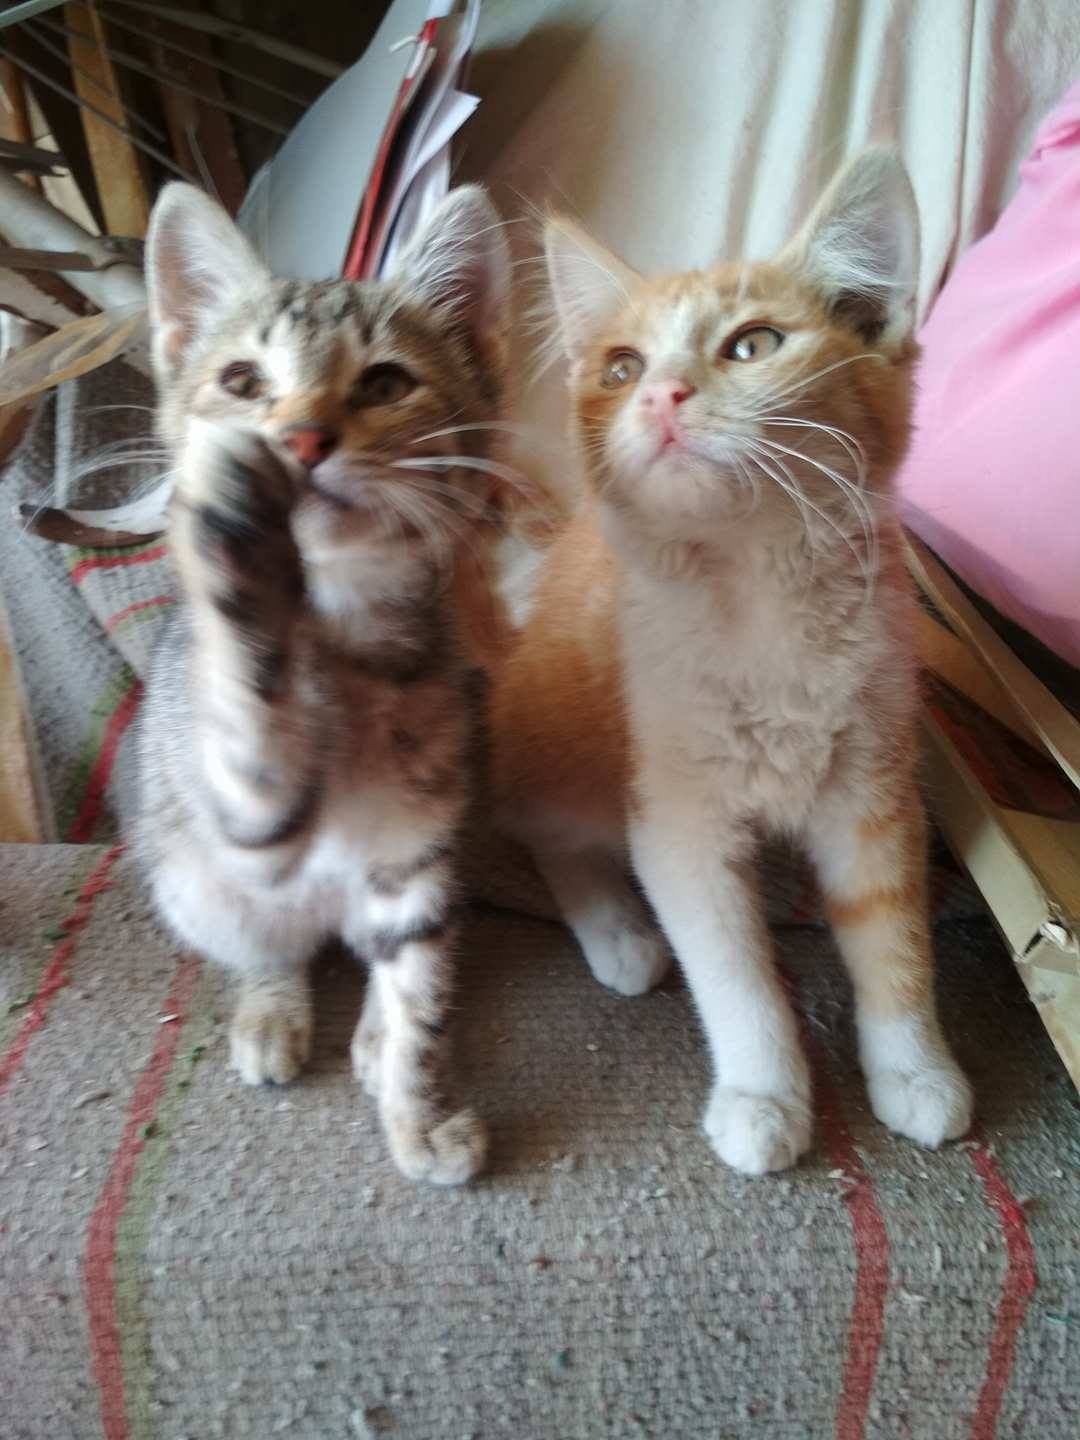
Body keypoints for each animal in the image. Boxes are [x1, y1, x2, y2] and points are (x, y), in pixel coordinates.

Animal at [133, 181, 512, 1186]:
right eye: (241, 382)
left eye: (384, 383)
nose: (301, 438)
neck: (350, 637)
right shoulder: (246, 814)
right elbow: (253, 712)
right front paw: (236, 549)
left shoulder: (421, 855)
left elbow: (424, 996)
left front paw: (418, 1115)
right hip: (191, 884)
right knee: (271, 945)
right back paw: (271, 1009)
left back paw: (372, 1033)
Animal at [490, 149, 973, 1176]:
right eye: (621, 367)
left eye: (754, 346)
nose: (660, 395)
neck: (756, 599)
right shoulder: (678, 819)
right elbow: (733, 967)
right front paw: (763, 1092)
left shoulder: (876, 789)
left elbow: (894, 936)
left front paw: (915, 1067)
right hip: (565, 749)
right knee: (544, 832)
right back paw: (618, 934)